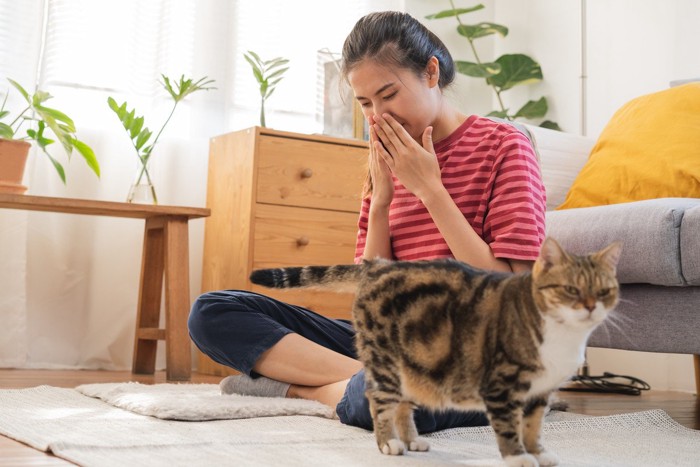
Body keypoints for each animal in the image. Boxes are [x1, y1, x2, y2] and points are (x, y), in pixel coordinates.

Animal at [249, 238, 620, 467]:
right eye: (570, 289)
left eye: (604, 291)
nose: (590, 307)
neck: (562, 337)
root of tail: (378, 265)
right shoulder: (501, 384)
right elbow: (509, 426)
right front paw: (518, 456)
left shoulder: (540, 391)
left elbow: (533, 426)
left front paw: (539, 452)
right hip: (383, 359)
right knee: (378, 400)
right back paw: (388, 444)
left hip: (416, 362)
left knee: (402, 404)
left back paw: (412, 440)